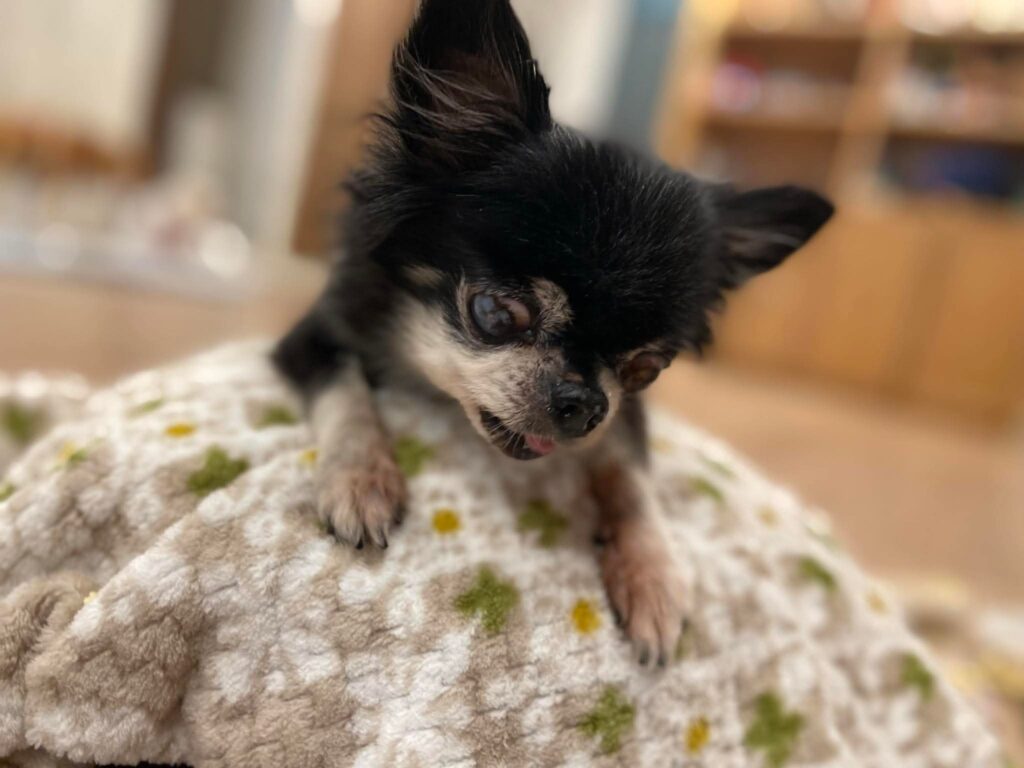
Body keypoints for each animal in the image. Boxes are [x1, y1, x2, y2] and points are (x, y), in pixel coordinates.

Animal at [274, 0, 833, 666]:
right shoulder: (313, 335)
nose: (584, 403)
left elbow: (630, 479)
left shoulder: (624, 420)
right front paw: (360, 479)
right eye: (496, 314)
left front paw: (653, 575)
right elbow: (348, 392)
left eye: (647, 369)